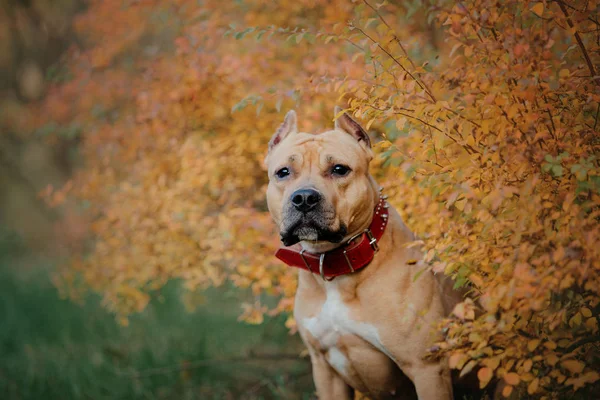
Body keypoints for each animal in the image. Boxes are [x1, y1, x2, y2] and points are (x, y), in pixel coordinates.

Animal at [264, 108, 466, 398]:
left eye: (339, 169)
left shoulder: (427, 368)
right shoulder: (325, 372)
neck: (335, 264)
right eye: (283, 172)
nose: (304, 198)